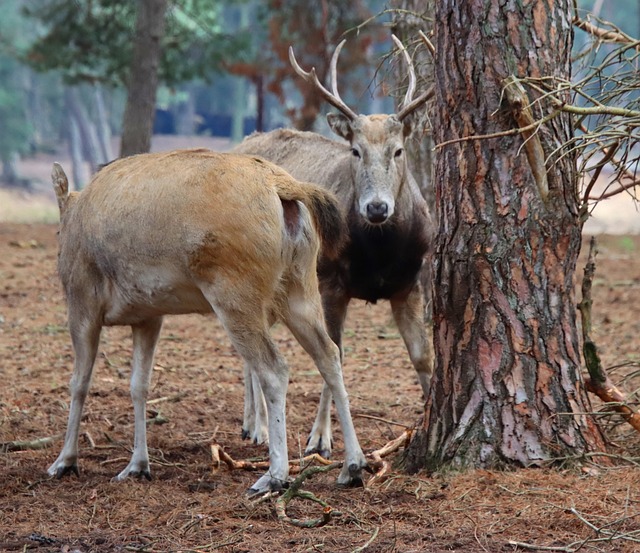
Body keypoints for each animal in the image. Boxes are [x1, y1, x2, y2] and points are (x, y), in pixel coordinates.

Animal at [47, 149, 368, 494]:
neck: (71, 213)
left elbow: (79, 382)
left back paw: (274, 474)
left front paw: (64, 461)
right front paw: (137, 465)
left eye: (58, 232)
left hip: (234, 294)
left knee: (274, 368)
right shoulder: (149, 315)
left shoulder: (82, 303)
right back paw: (352, 466)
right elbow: (139, 386)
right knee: (329, 353)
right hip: (301, 287)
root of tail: (285, 188)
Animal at [232, 35, 438, 458]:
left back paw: (252, 425)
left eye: (398, 150)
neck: (379, 255)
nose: (376, 207)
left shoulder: (411, 282)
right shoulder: (330, 280)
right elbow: (336, 352)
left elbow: (422, 356)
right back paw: (257, 427)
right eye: (355, 151)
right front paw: (320, 438)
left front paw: (429, 421)